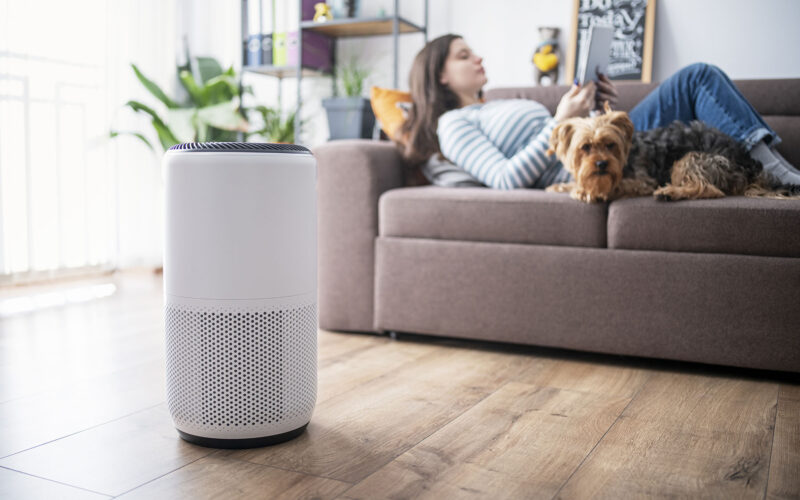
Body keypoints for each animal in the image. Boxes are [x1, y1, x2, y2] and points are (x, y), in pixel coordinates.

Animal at [544, 100, 800, 202]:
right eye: (585, 147)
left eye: (610, 145)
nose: (601, 164)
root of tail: (749, 163)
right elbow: (574, 183)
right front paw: (561, 186)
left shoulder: (641, 181)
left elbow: (616, 185)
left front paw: (589, 192)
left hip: (691, 158)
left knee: (710, 189)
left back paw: (671, 191)